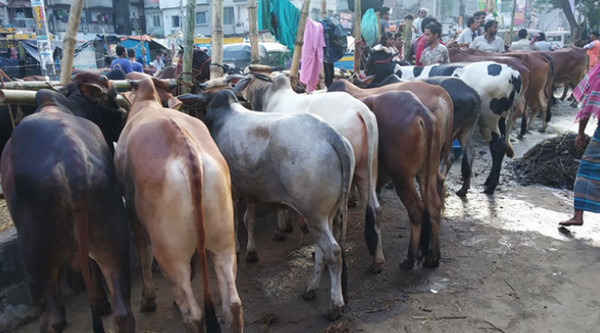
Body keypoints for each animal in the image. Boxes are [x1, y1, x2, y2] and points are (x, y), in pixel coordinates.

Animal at [0, 72, 134, 332]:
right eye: (114, 96)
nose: (125, 113)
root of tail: (73, 159)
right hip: (114, 235)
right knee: (123, 312)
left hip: (34, 253)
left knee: (52, 317)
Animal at [116, 77, 243, 330]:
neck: (146, 104)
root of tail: (186, 151)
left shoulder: (133, 217)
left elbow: (143, 254)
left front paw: (147, 300)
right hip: (223, 241)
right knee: (232, 305)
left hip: (171, 255)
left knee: (193, 314)